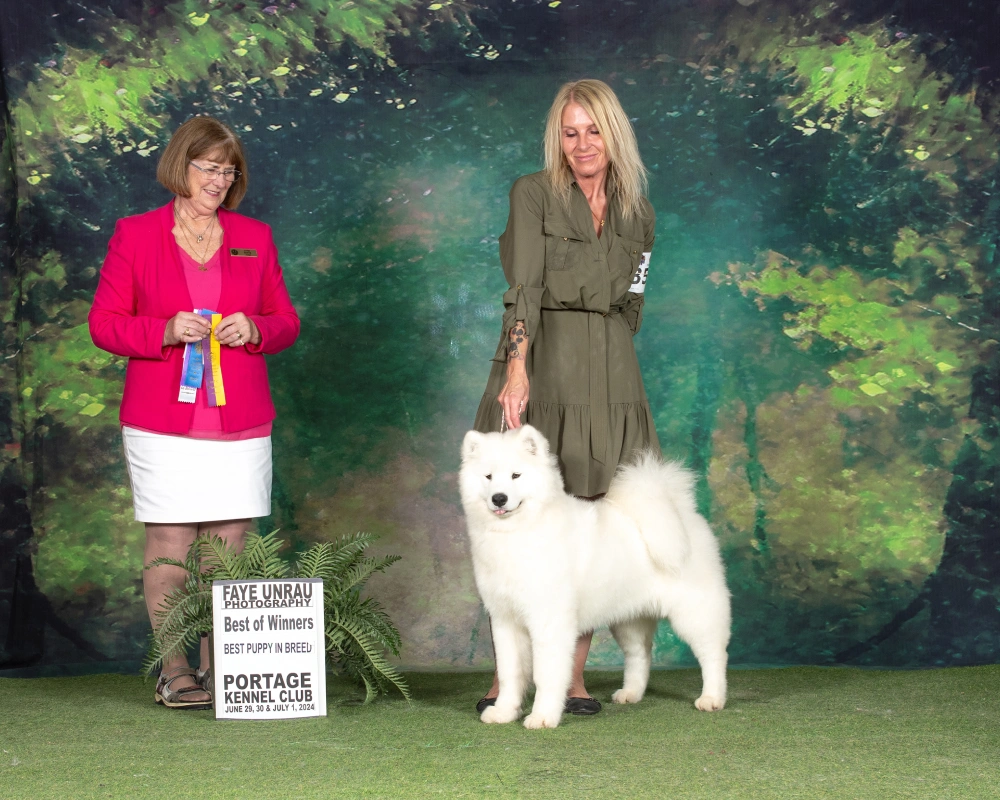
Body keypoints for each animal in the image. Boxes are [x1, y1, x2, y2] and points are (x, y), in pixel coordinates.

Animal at [458, 428, 732, 728]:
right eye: (488, 476)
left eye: (516, 475)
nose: (499, 498)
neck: (516, 532)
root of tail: (680, 511)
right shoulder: (504, 619)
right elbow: (510, 673)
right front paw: (504, 712)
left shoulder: (549, 620)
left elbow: (546, 675)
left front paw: (542, 717)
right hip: (629, 619)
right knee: (640, 654)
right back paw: (631, 693)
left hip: (693, 613)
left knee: (714, 654)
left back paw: (712, 698)